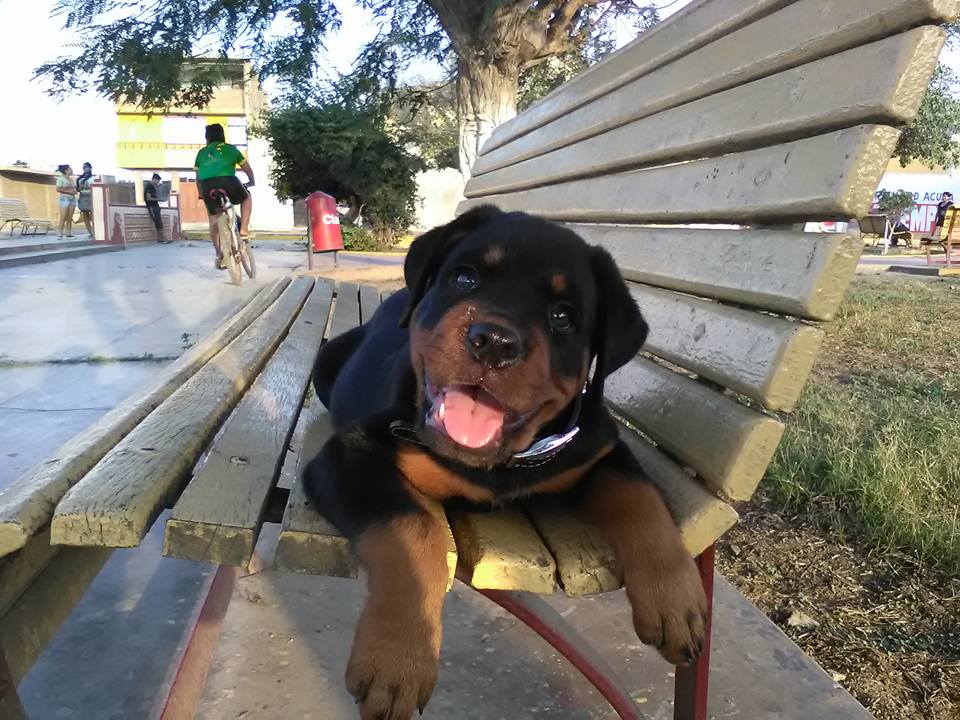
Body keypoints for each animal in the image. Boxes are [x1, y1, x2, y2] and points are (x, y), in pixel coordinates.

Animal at [304, 205, 708, 716]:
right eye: (465, 278)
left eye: (562, 317)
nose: (494, 340)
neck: (498, 463)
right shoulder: (350, 454)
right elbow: (415, 528)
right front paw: (397, 659)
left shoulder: (600, 450)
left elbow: (641, 499)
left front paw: (677, 600)